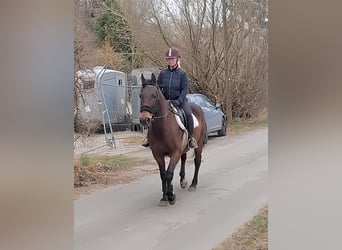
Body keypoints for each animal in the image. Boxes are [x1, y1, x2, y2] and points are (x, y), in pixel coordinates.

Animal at [138, 73, 206, 207]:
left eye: (154, 96)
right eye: (140, 95)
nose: (144, 120)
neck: (162, 127)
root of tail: (198, 107)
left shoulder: (175, 153)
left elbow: (169, 173)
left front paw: (171, 196)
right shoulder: (158, 155)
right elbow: (163, 174)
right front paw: (164, 197)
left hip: (199, 144)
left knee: (197, 161)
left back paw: (193, 184)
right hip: (183, 148)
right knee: (184, 159)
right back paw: (183, 181)